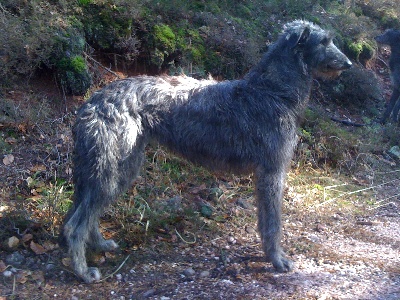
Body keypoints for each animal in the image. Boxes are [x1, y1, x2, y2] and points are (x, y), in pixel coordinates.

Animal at [61, 19, 350, 282]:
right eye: (324, 41)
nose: (349, 64)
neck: (272, 92)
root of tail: (92, 102)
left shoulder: (265, 174)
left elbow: (264, 219)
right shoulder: (272, 171)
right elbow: (273, 222)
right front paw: (277, 260)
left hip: (119, 168)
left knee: (84, 214)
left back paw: (99, 244)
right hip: (111, 168)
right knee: (75, 226)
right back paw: (83, 272)